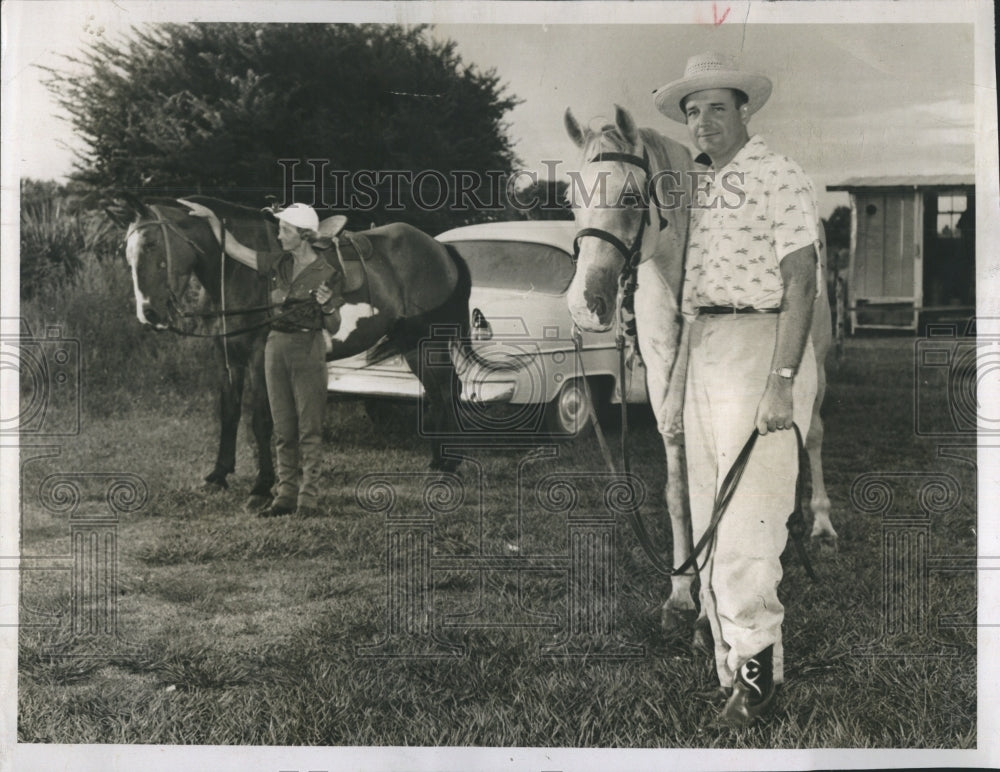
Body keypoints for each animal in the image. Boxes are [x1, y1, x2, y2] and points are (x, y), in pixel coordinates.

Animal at [107, 196, 474, 504]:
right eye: (126, 252)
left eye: (152, 245)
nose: (149, 314)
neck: (241, 272)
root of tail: (441, 249)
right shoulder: (228, 357)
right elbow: (229, 412)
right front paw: (219, 474)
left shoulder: (259, 357)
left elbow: (260, 419)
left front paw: (262, 484)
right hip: (413, 346)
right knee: (438, 392)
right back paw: (438, 461)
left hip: (429, 341)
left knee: (447, 390)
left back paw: (450, 463)